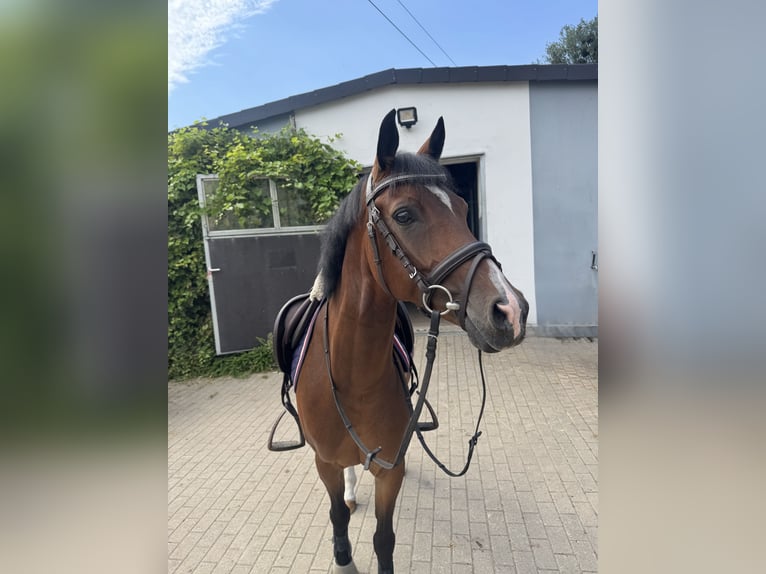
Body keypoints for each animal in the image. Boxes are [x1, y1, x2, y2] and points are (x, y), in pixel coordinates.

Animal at [293, 109, 528, 573]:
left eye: (463, 208)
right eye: (404, 215)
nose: (509, 310)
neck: (352, 376)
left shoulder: (391, 471)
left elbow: (384, 539)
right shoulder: (323, 462)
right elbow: (337, 514)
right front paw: (343, 555)